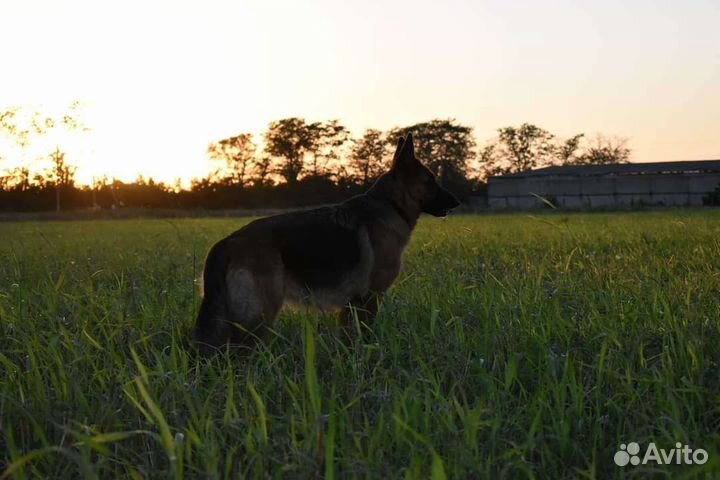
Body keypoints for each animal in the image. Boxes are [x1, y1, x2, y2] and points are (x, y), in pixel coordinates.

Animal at [194, 133, 458, 350]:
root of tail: (225, 243)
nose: (457, 202)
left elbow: (349, 340)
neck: (392, 205)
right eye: (430, 180)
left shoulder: (351, 306)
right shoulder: (370, 300)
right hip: (258, 316)